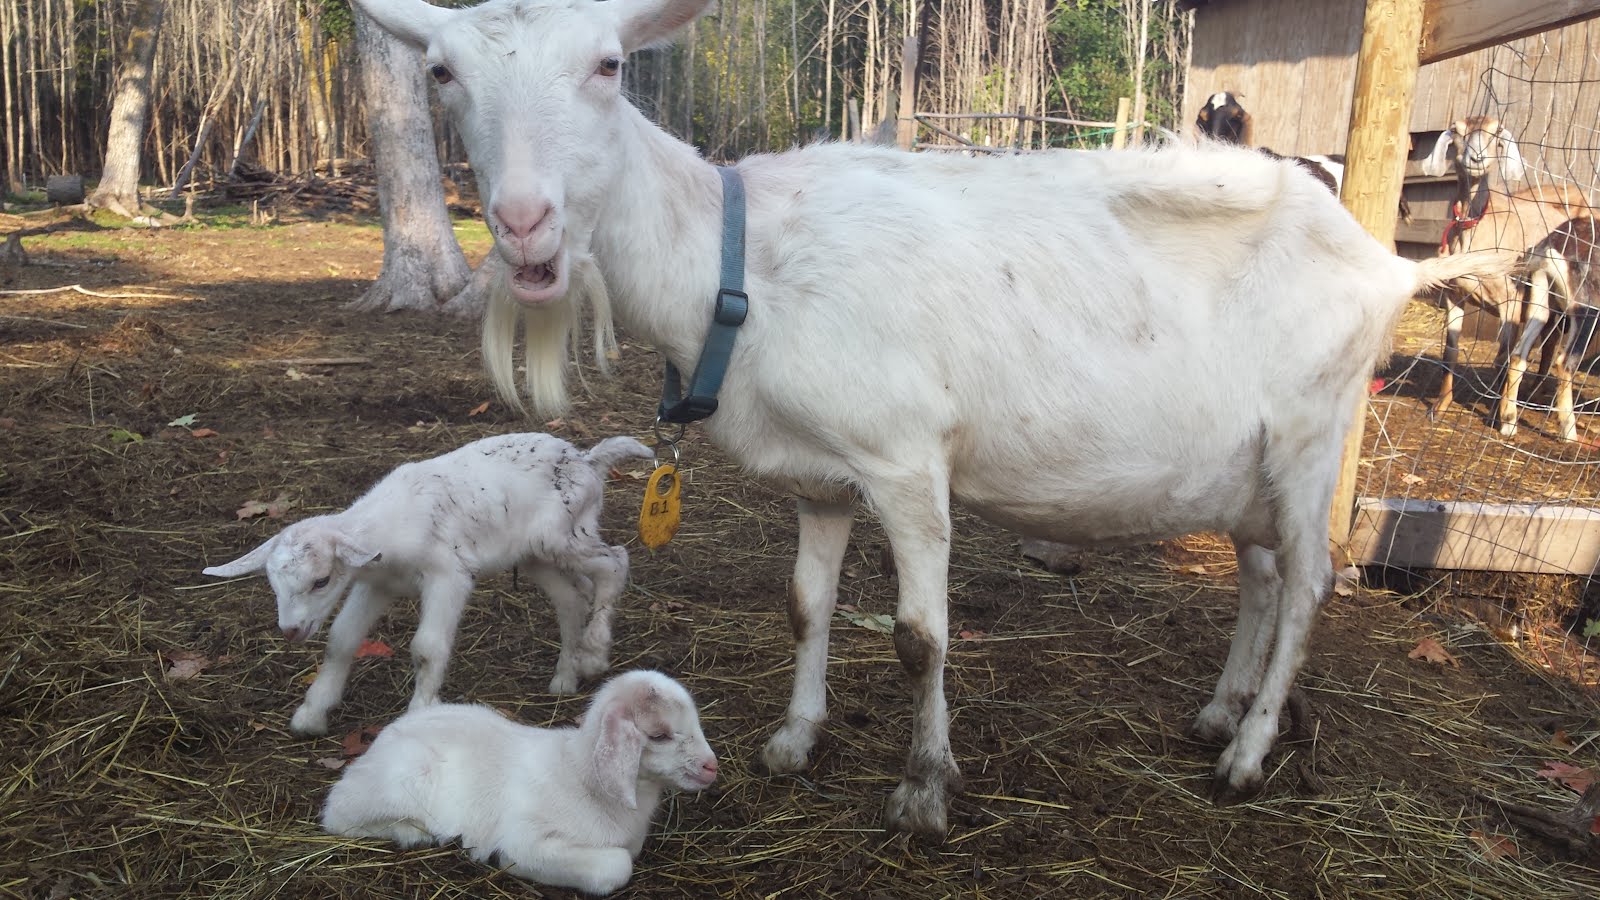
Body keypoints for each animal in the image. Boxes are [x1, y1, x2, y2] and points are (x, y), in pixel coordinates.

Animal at [203, 433, 653, 736]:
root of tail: (588, 459)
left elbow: (427, 648)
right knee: (572, 597)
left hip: (561, 536)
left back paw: (593, 653)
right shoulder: (376, 582)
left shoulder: (448, 574)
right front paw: (312, 714)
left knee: (615, 562)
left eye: (321, 580)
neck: (391, 523)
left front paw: (420, 712)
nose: (291, 630)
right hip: (536, 554)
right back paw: (565, 677)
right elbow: (341, 639)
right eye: (273, 585)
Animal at [322, 670, 718, 895]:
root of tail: (379, 741)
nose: (711, 767)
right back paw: (415, 833)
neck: (581, 776)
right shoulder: (525, 841)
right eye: (659, 735)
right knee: (340, 816)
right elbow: (616, 866)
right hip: (403, 778)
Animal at [350, 0, 1517, 835]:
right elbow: (805, 608)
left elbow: (919, 637)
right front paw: (793, 739)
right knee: (1263, 576)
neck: (744, 267)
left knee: (1312, 580)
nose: (523, 223)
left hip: (1315, 433)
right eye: (441, 72)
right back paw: (1218, 712)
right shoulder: (822, 479)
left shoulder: (906, 463)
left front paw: (922, 788)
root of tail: (1382, 265)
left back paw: (1245, 755)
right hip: (1247, 461)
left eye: (609, 65)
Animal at [1421, 115, 1589, 421]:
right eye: (1456, 131)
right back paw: (1535, 392)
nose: (1476, 158)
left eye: (1496, 131)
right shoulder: (1453, 295)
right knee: (1549, 342)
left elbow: (1503, 357)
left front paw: (1495, 412)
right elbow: (1450, 352)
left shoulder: (1509, 300)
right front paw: (1440, 407)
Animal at [1499, 215, 1600, 441]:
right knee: (1564, 362)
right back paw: (1569, 432)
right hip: (1587, 313)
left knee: (1518, 355)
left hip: (1541, 305)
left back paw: (1509, 423)